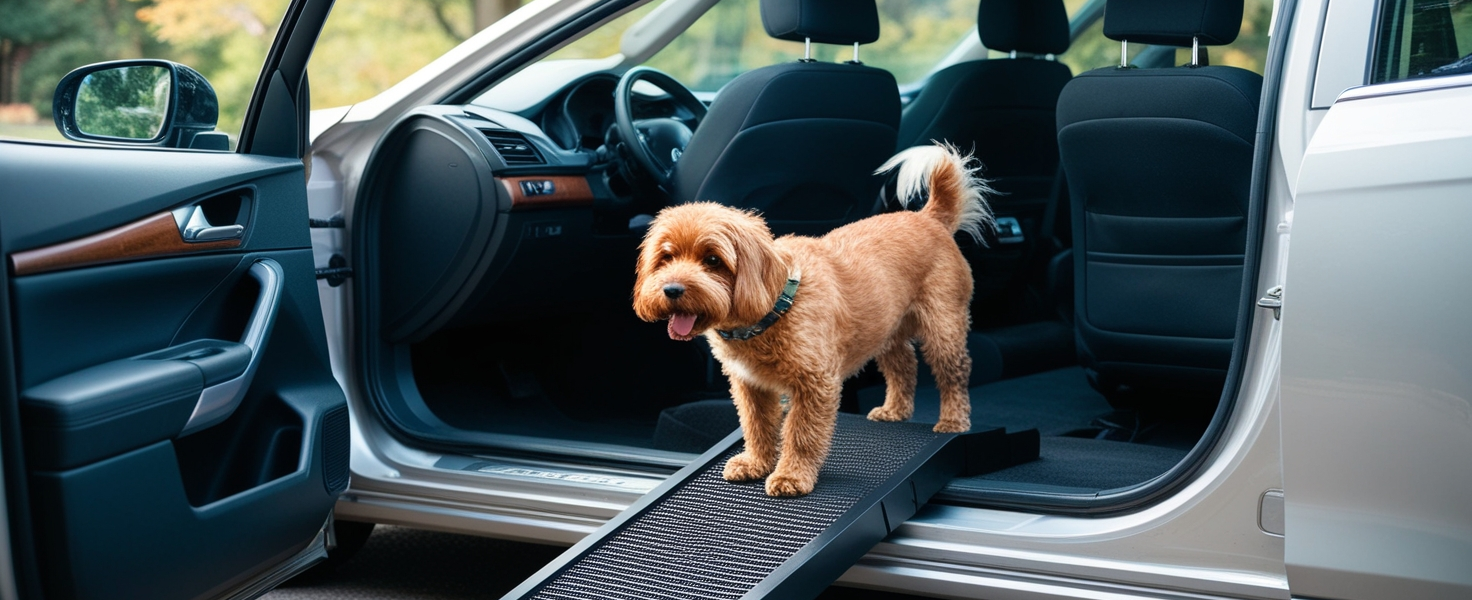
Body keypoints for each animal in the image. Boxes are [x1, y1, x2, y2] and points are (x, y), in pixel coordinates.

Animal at [632, 144, 989, 497]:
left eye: (712, 260)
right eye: (666, 257)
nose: (672, 289)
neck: (775, 307)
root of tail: (929, 218)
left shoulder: (814, 385)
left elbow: (801, 434)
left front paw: (791, 476)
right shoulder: (750, 386)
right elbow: (756, 425)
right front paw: (755, 462)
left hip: (942, 326)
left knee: (954, 373)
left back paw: (953, 421)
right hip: (887, 328)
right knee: (903, 365)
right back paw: (894, 410)